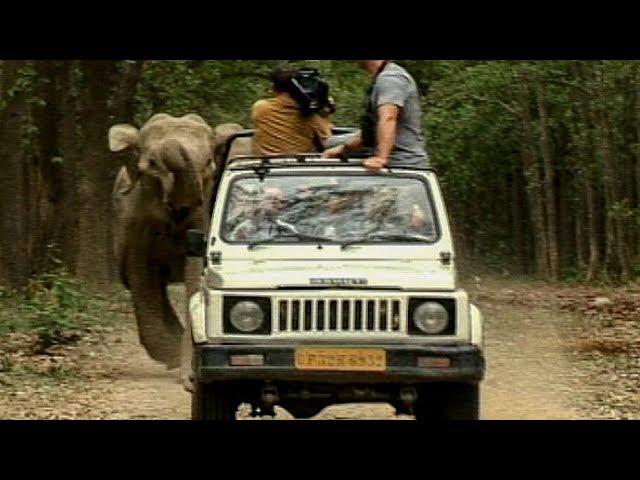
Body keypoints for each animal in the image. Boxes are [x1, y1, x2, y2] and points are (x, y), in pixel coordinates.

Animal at [109, 113, 220, 389]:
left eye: (210, 164)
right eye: (151, 164)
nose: (190, 381)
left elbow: (194, 275)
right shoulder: (132, 221)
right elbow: (141, 275)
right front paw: (176, 362)